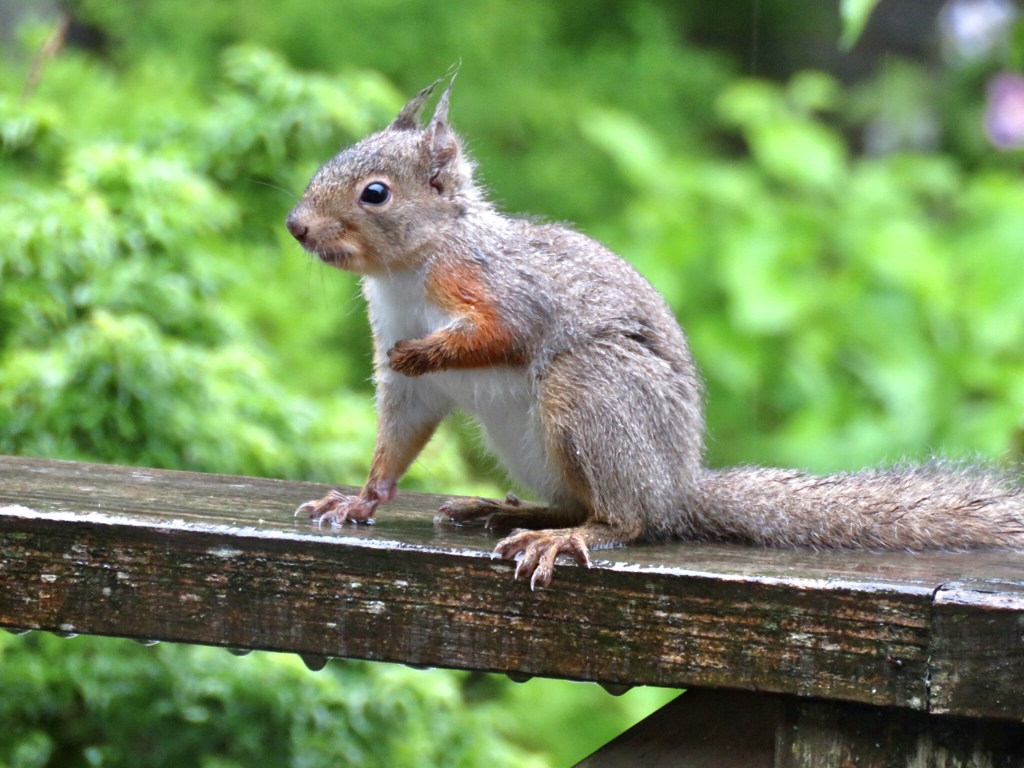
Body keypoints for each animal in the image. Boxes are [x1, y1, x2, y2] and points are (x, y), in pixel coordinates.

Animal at [284, 76, 1024, 589]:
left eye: (374, 192)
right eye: (335, 159)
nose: (296, 225)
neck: (406, 273)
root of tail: (675, 485)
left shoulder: (497, 288)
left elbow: (505, 333)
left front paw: (426, 350)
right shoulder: (406, 375)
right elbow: (398, 435)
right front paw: (359, 501)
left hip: (591, 392)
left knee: (626, 520)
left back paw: (562, 536)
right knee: (578, 503)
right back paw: (510, 514)